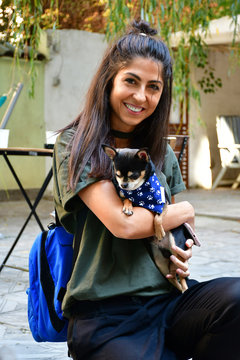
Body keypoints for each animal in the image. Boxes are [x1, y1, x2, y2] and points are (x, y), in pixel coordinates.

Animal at [102, 144, 200, 292]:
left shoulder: (163, 203)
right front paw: (128, 206)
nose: (123, 185)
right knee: (172, 277)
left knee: (181, 276)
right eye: (118, 175)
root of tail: (167, 251)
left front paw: (159, 231)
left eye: (133, 175)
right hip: (160, 262)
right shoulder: (124, 194)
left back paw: (184, 289)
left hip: (177, 250)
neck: (140, 192)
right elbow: (126, 198)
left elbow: (157, 217)